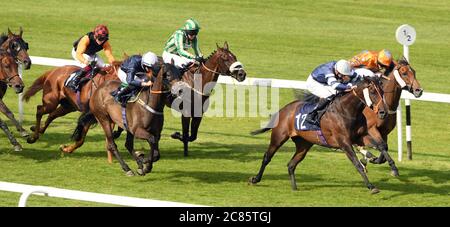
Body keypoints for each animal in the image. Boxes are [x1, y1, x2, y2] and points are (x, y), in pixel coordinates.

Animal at [250, 76, 390, 193]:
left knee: (291, 164)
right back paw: (255, 179)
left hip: (304, 144)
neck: (347, 111)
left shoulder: (360, 137)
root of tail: (284, 109)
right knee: (267, 157)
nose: (383, 112)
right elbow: (357, 163)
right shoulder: (344, 142)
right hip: (279, 137)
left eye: (382, 91)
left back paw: (294, 187)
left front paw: (380, 160)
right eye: (372, 91)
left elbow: (382, 146)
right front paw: (371, 186)